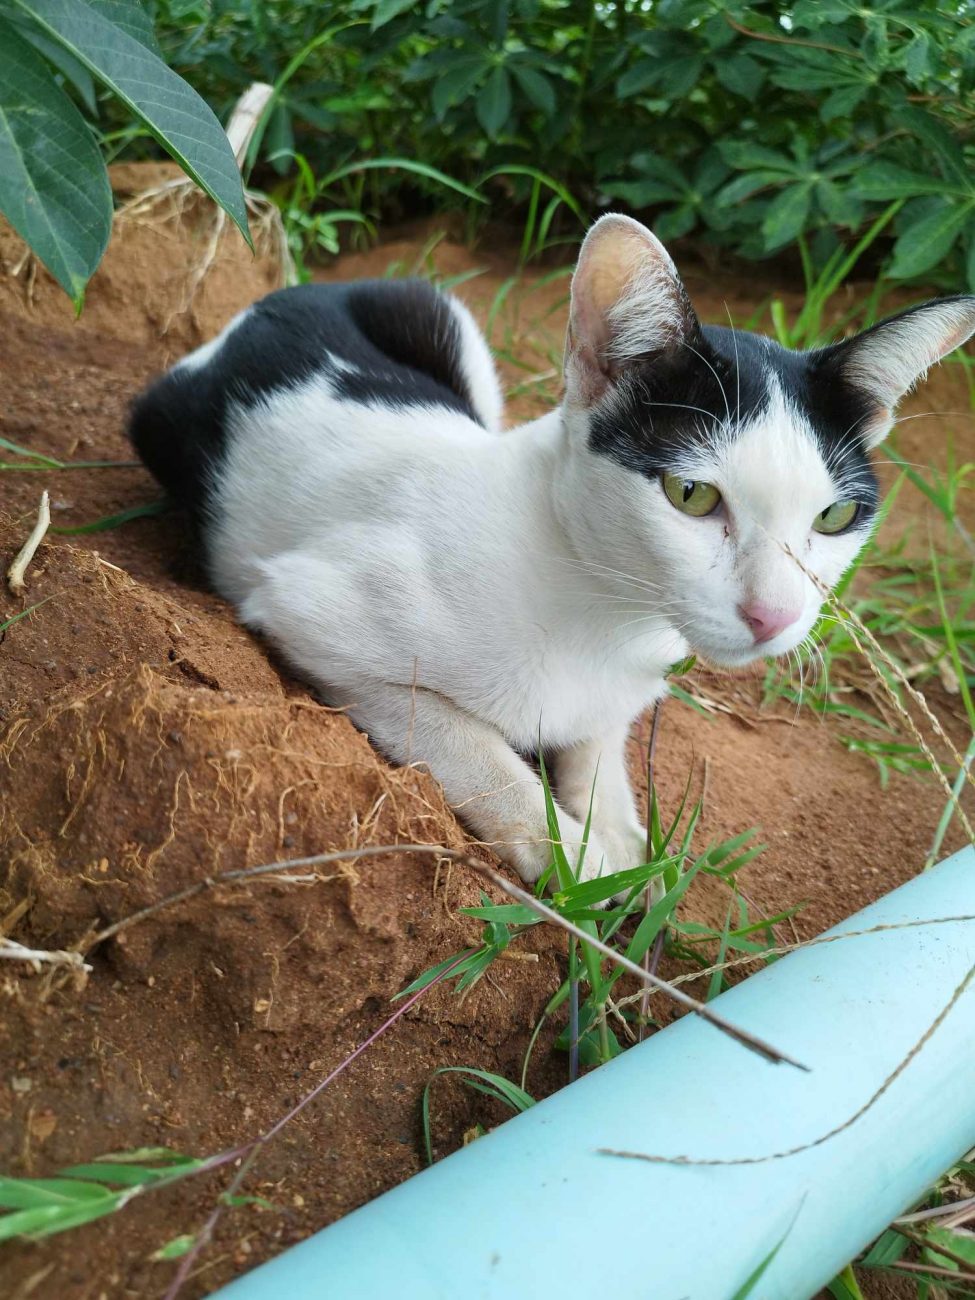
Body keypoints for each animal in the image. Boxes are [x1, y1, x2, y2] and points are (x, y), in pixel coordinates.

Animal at [130, 215, 975, 894]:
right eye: (691, 495)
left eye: (834, 516)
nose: (773, 616)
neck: (603, 608)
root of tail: (270, 301)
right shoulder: (307, 613)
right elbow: (469, 745)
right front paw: (584, 864)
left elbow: (598, 748)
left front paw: (621, 837)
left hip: (450, 328)